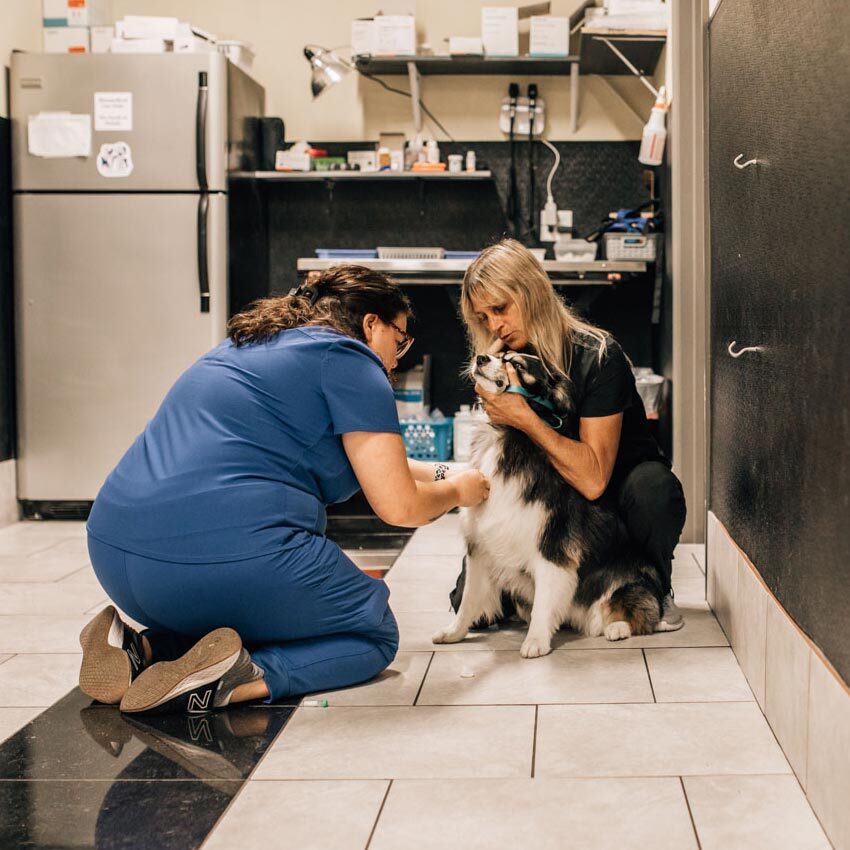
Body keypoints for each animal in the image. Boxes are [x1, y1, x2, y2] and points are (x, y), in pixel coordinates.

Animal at [434, 352, 664, 656]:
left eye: (516, 364)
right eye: (499, 354)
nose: (480, 357)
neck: (508, 437)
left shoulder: (552, 547)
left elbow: (543, 603)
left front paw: (535, 642)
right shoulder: (480, 547)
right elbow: (469, 598)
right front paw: (454, 633)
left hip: (629, 581)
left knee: (637, 611)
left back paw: (617, 627)